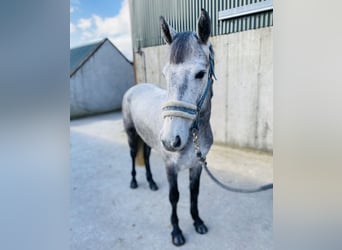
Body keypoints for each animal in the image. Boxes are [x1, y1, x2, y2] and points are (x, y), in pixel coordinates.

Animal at [121, 9, 215, 246]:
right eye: (165, 74)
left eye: (200, 73)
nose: (171, 140)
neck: (193, 135)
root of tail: (134, 88)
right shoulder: (170, 166)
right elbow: (175, 197)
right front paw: (177, 232)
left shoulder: (197, 165)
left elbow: (194, 194)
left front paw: (197, 222)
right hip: (132, 135)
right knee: (133, 156)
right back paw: (134, 182)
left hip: (147, 139)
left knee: (145, 155)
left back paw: (152, 183)